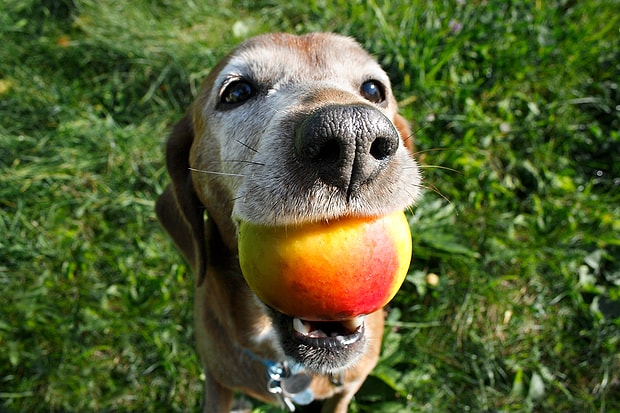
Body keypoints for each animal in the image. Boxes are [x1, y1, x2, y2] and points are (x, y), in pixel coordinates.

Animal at [156, 33, 422, 412]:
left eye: (373, 89)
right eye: (236, 92)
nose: (353, 136)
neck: (290, 368)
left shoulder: (347, 388)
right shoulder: (216, 381)